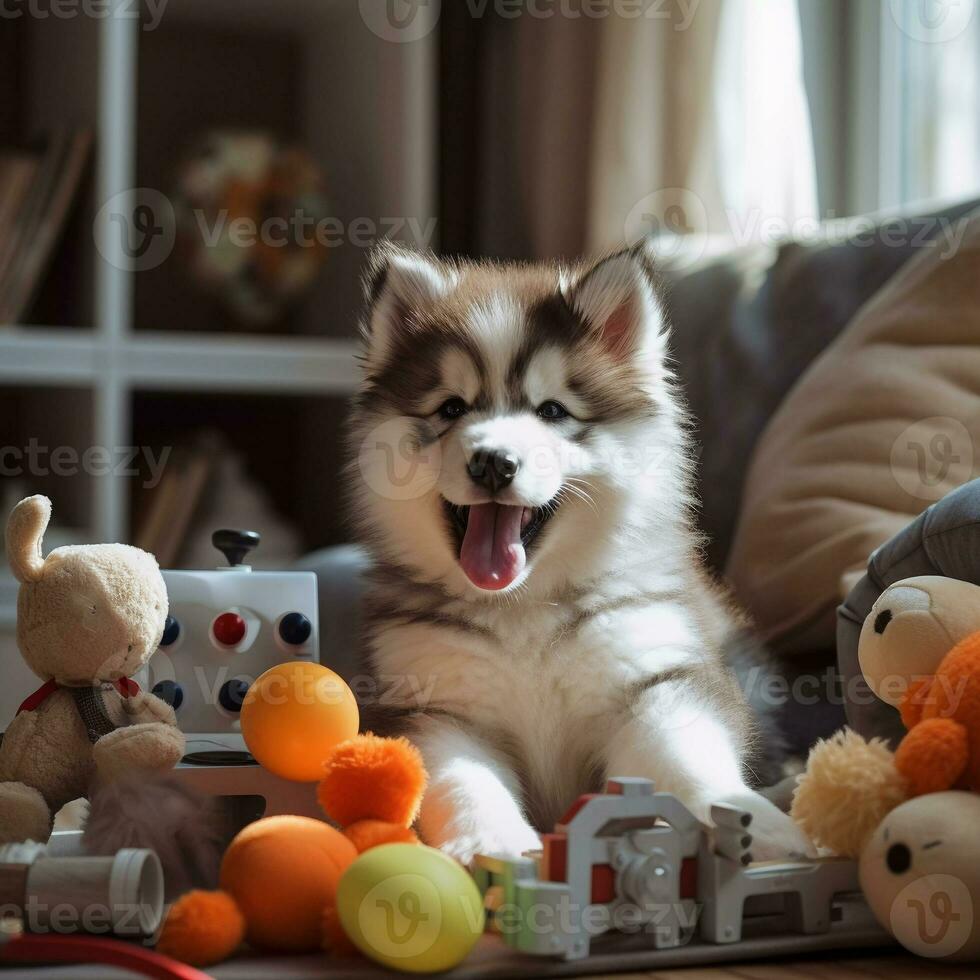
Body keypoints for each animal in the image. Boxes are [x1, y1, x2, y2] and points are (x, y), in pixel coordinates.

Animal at [350, 241, 812, 860]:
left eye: (551, 411)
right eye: (451, 408)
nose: (493, 462)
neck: (521, 607)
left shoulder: (657, 678)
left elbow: (689, 760)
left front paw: (755, 826)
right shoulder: (431, 708)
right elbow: (461, 779)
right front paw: (490, 841)